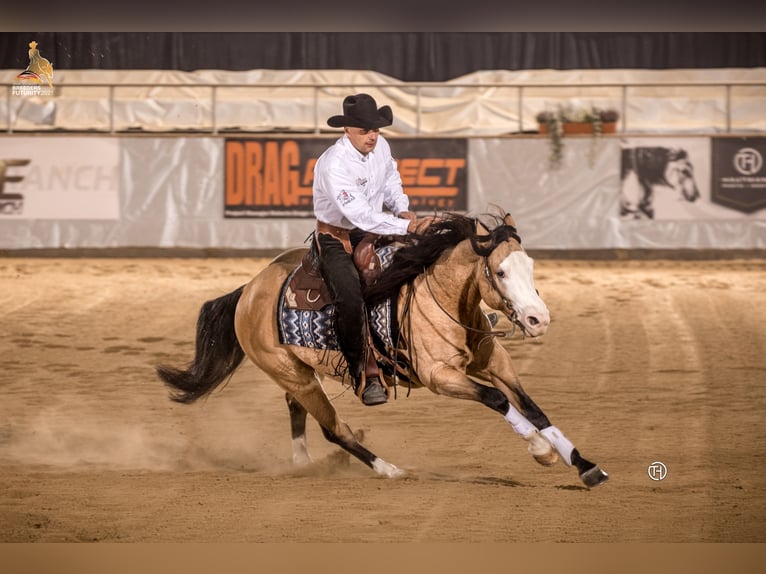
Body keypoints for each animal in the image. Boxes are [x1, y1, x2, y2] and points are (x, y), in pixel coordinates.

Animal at [156, 210, 609, 488]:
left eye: (530, 266)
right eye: (499, 271)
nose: (538, 319)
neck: (442, 298)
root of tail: (248, 291)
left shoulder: (494, 360)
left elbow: (532, 407)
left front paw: (586, 466)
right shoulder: (440, 376)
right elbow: (497, 400)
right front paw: (541, 450)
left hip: (299, 372)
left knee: (296, 410)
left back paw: (304, 464)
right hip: (292, 374)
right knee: (333, 428)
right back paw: (388, 469)